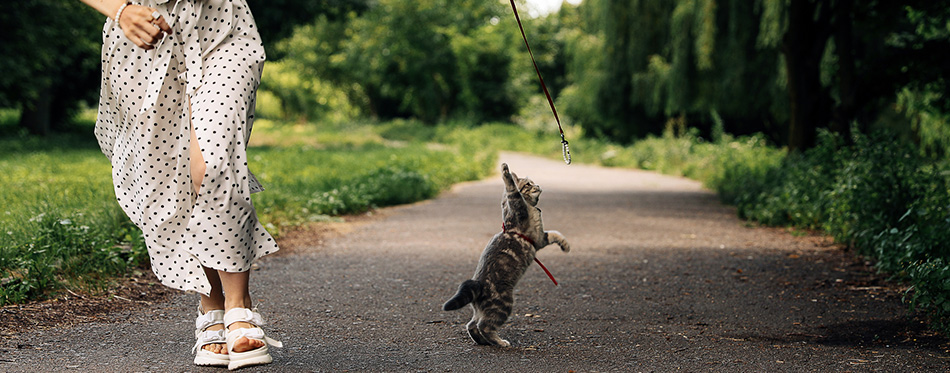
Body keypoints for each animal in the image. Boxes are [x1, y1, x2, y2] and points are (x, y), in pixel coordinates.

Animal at [442, 163, 568, 346]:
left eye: (533, 182)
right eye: (528, 184)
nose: (538, 186)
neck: (532, 208)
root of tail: (478, 285)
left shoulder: (539, 238)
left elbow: (555, 233)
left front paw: (565, 244)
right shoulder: (518, 210)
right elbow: (512, 191)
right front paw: (505, 171)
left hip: (484, 310)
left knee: (472, 324)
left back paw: (484, 341)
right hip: (503, 304)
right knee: (484, 326)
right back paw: (500, 342)